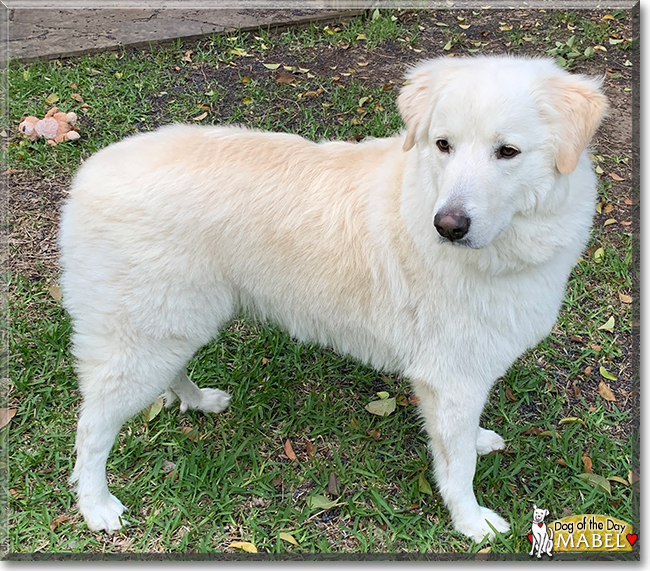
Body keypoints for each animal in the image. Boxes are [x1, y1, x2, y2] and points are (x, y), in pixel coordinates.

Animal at [58, 55, 604, 544]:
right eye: (443, 145)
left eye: (507, 152)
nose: (447, 226)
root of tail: (87, 175)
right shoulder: (450, 380)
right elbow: (458, 468)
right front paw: (472, 524)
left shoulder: (464, 378)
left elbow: (464, 444)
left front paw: (480, 443)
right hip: (141, 339)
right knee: (90, 430)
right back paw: (96, 508)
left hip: (172, 326)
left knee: (166, 375)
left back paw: (197, 401)